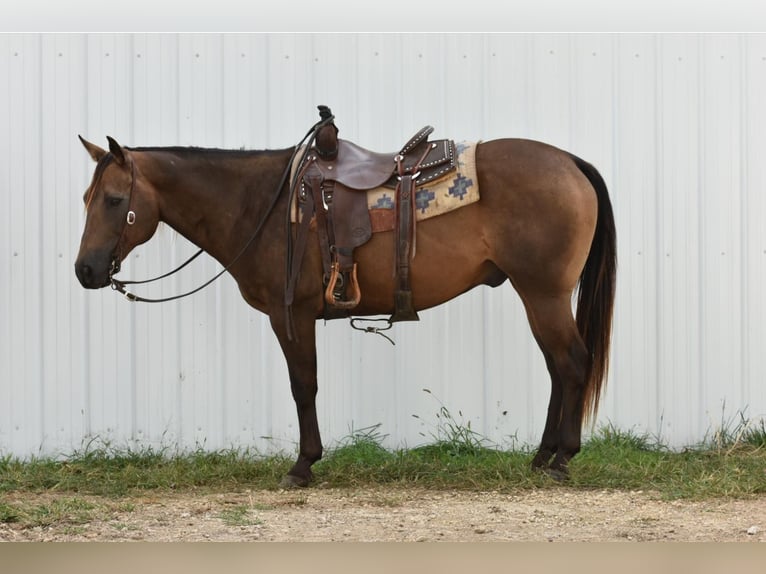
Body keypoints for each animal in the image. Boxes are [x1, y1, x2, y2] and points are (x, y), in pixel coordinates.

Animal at [75, 115, 616, 488]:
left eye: (114, 200)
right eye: (87, 198)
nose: (85, 271)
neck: (262, 203)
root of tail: (571, 162)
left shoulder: (291, 315)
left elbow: (303, 386)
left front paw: (303, 465)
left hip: (544, 294)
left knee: (572, 363)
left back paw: (562, 459)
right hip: (538, 297)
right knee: (557, 369)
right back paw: (542, 456)